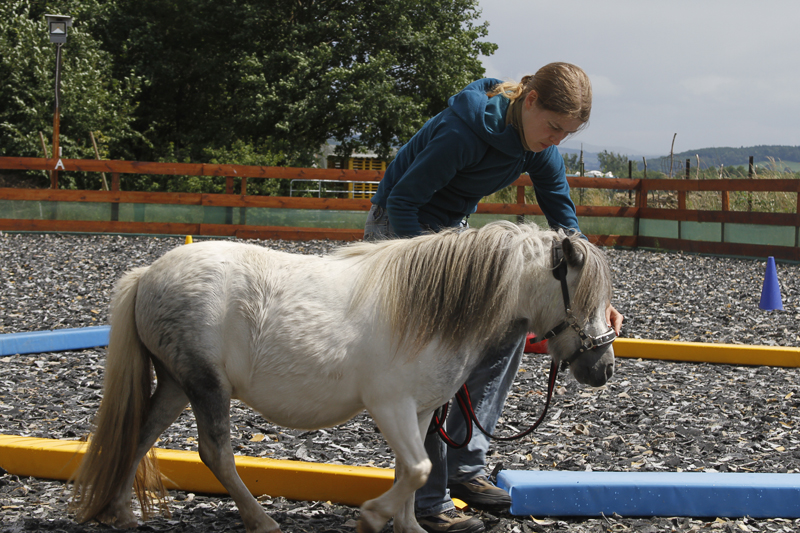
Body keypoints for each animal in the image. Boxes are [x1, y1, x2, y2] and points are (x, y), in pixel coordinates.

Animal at [72, 220, 616, 532]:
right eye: (583, 294)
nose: (604, 367)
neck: (433, 310)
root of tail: (147, 274)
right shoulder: (390, 405)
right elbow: (418, 469)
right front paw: (372, 517)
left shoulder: (420, 410)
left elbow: (409, 472)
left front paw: (409, 527)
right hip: (206, 385)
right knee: (215, 453)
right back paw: (261, 521)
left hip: (176, 385)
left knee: (140, 435)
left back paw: (121, 512)